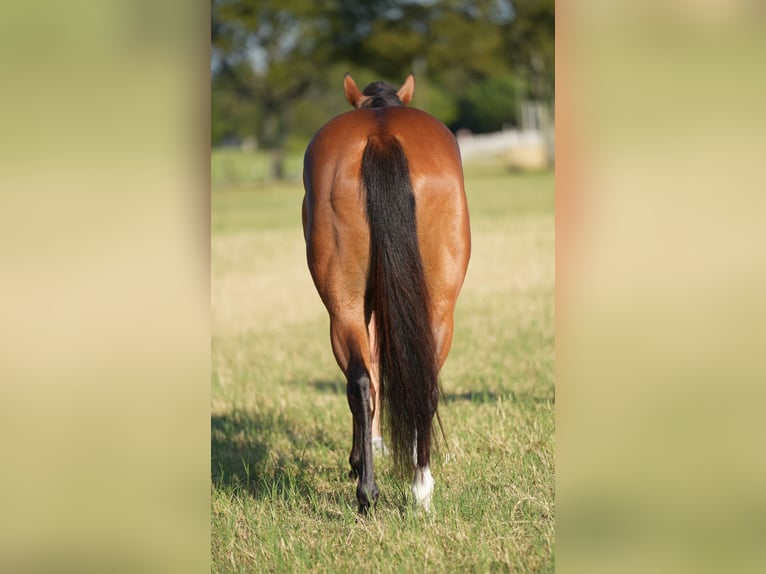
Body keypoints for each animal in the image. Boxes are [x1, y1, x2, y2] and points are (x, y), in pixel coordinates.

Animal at [301, 73, 471, 513]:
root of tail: (381, 136)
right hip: (435, 304)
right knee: (414, 379)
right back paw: (415, 486)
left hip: (345, 306)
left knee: (362, 381)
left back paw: (375, 489)